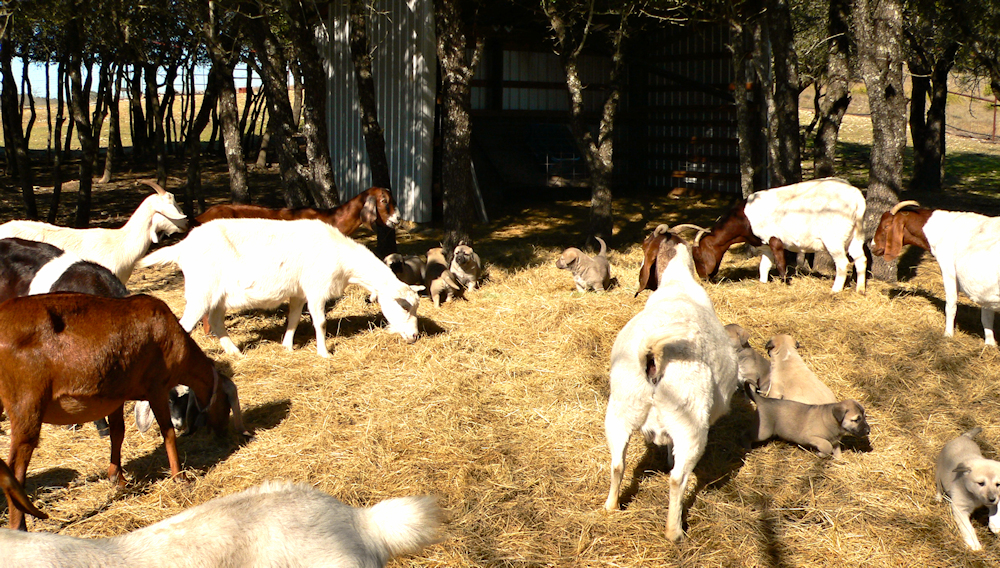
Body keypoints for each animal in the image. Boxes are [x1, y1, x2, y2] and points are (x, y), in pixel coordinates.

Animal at [0, 296, 248, 532]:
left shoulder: (115, 397)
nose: (223, 433)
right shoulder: (156, 387)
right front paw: (180, 477)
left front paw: (117, 479)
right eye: (226, 402)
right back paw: (19, 526)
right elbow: (167, 433)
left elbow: (118, 433)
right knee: (15, 468)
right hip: (27, 403)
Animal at [139, 219, 420, 358]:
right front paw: (324, 353)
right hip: (201, 291)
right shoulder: (316, 289)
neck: (341, 256)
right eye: (403, 307)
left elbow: (294, 318)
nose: (415, 336)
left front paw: (287, 346)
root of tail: (182, 247)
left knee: (217, 322)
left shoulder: (298, 292)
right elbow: (320, 322)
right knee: (185, 325)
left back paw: (236, 353)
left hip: (217, 296)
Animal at [604, 226, 740, 540]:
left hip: (620, 408)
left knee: (617, 463)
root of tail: (653, 353)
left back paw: (611, 507)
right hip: (690, 419)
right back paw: (674, 532)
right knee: (678, 479)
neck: (677, 284)